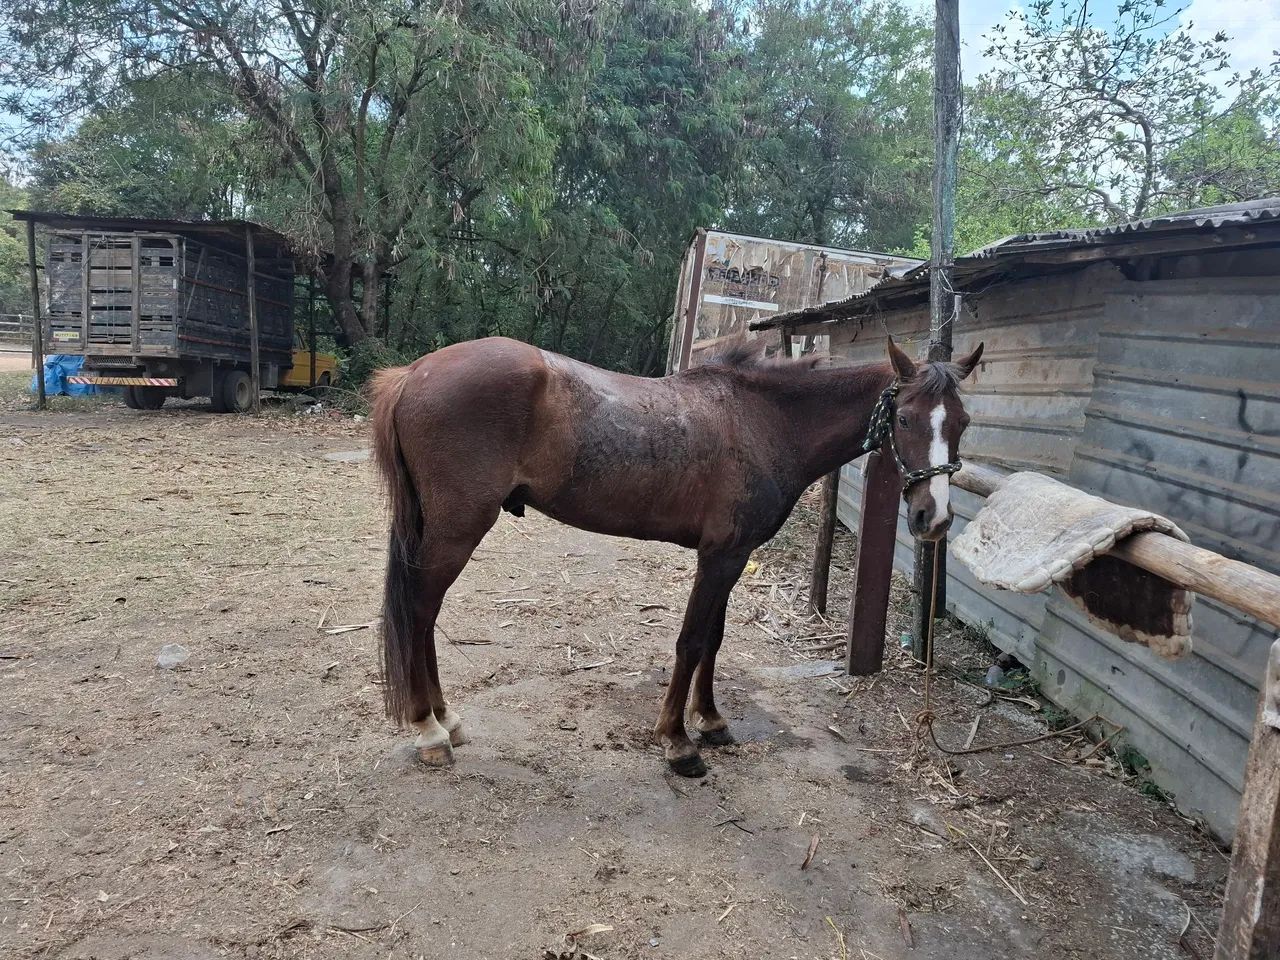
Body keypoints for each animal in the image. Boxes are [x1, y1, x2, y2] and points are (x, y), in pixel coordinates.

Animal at [370, 335, 984, 777]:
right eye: (904, 419)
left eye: (962, 423)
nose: (934, 519)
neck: (766, 421)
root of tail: (413, 374)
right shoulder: (718, 556)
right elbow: (690, 641)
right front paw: (678, 741)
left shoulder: (733, 556)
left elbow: (713, 639)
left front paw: (709, 720)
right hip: (457, 530)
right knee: (420, 611)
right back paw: (430, 729)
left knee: (422, 615)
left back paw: (446, 720)